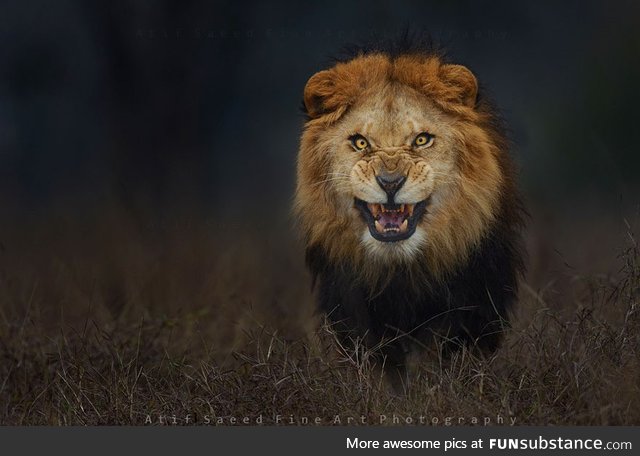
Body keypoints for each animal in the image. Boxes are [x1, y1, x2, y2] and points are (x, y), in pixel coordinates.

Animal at [296, 40, 524, 388]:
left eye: (421, 139)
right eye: (360, 142)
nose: (390, 182)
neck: (401, 268)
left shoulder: (471, 306)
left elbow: (438, 362)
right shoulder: (353, 309)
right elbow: (382, 371)